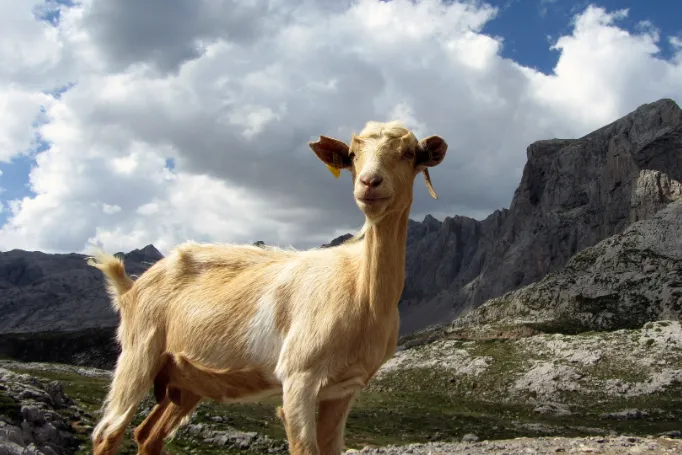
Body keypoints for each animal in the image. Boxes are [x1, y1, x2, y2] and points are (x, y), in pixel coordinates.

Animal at [86, 119, 446, 454]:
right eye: (353, 155)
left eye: (409, 153)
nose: (370, 183)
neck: (362, 291)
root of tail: (131, 287)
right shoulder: (299, 377)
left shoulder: (344, 389)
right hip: (139, 352)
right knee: (108, 433)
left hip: (186, 379)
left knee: (148, 435)